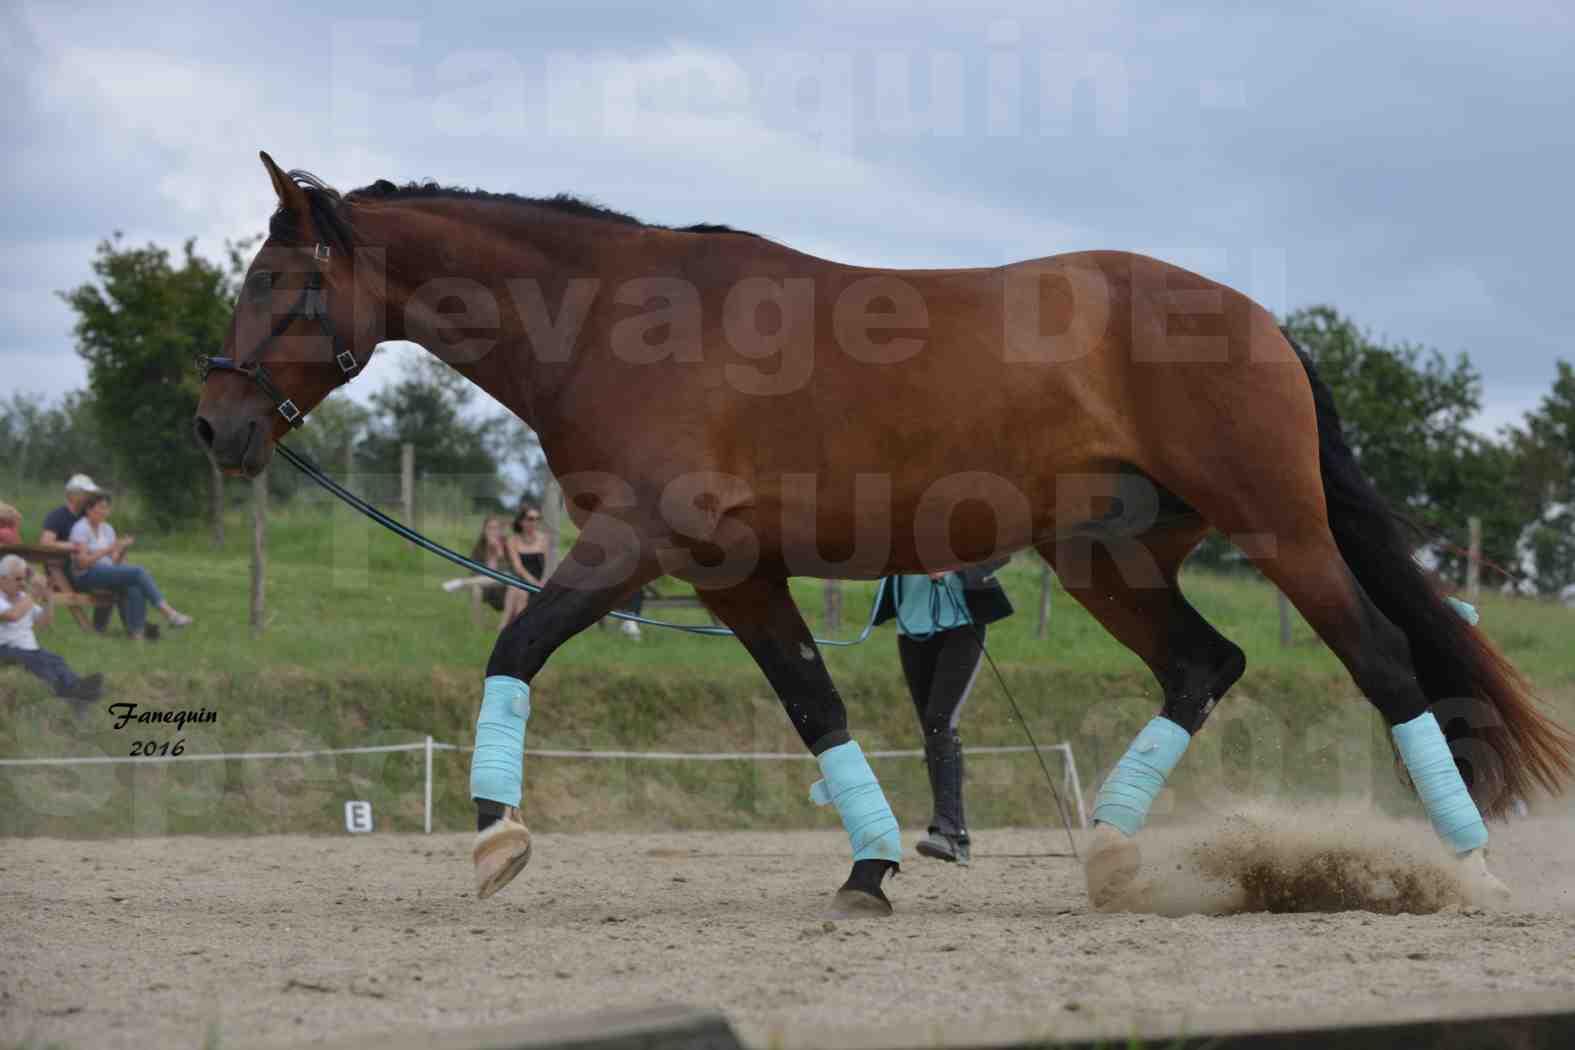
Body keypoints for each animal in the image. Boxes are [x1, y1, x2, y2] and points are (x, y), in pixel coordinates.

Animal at [200, 151, 1575, 913]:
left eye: (276, 282)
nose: (217, 422)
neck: (620, 322)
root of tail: (1257, 318)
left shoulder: (634, 546)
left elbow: (514, 649)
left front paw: (495, 839)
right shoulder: (734, 574)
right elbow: (816, 708)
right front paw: (869, 871)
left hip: (1282, 532)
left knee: (1384, 666)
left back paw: (1468, 870)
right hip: (1108, 559)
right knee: (1206, 663)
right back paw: (1111, 857)